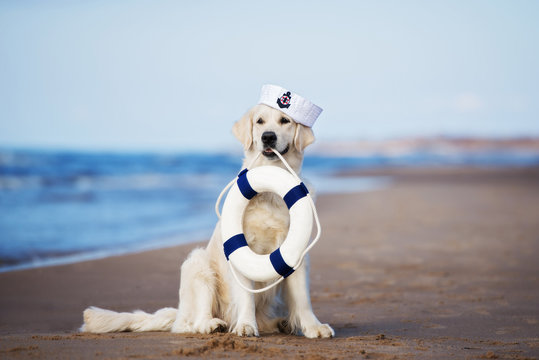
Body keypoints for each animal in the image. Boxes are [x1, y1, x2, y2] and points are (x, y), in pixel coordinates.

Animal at [82, 102, 336, 338]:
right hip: (198, 265)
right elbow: (246, 295)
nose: (268, 137)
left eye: (285, 120)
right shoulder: (241, 253)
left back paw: (280, 323)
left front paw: (313, 327)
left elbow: (302, 298)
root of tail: (179, 313)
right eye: (260, 121)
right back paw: (212, 325)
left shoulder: (297, 252)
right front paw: (245, 325)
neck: (270, 190)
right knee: (192, 322)